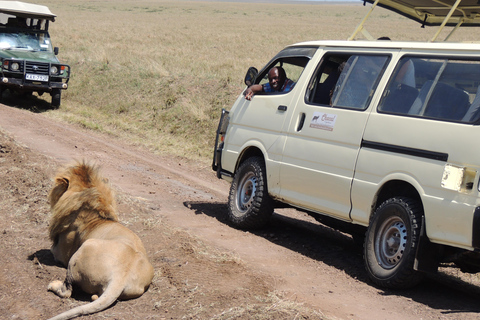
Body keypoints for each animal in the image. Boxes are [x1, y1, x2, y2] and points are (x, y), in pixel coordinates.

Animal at [46, 162, 153, 320]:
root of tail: (120, 276)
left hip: (83, 249)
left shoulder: (62, 253)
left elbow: (52, 251)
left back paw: (53, 284)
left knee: (67, 290)